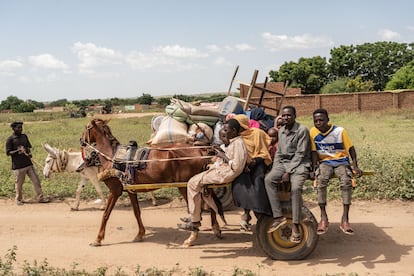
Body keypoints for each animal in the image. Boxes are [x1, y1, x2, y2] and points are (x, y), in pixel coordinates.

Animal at [80, 118, 223, 246]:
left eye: (86, 127)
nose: (81, 140)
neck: (112, 156)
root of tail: (200, 150)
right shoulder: (131, 190)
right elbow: (136, 212)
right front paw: (140, 234)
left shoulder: (115, 191)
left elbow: (106, 214)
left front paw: (98, 239)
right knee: (210, 204)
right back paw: (215, 228)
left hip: (185, 186)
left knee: (197, 210)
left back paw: (192, 238)